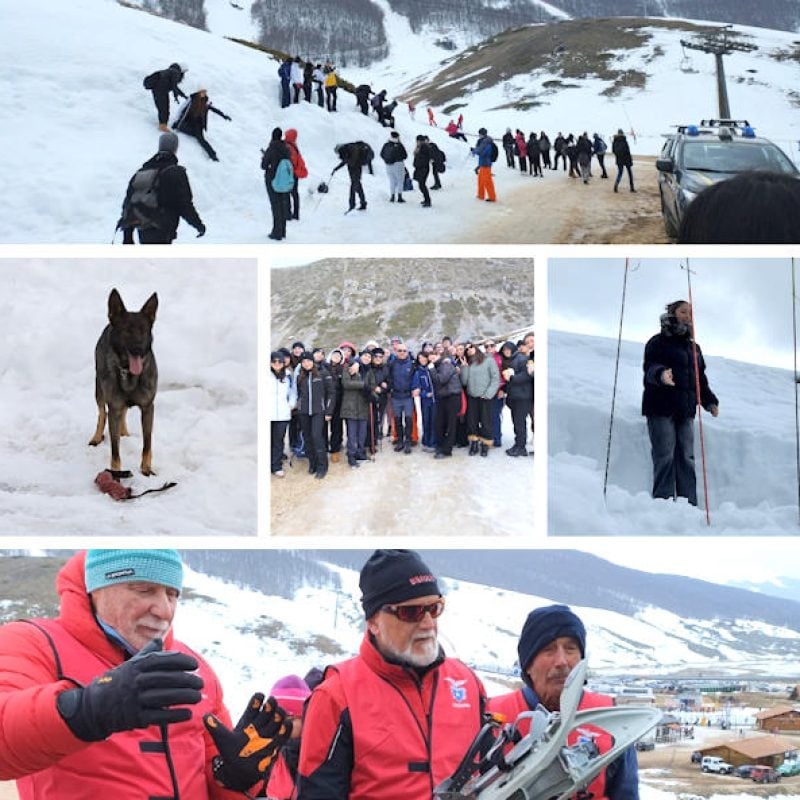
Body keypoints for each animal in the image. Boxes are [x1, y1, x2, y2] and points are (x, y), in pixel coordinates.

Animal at [89, 290, 159, 472]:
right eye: (127, 331)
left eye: (143, 331)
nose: (138, 349)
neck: (129, 374)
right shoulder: (114, 407)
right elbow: (115, 449)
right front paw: (116, 472)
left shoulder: (148, 408)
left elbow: (147, 443)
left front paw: (146, 469)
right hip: (99, 389)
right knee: (102, 412)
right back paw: (97, 437)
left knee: (124, 411)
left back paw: (124, 432)